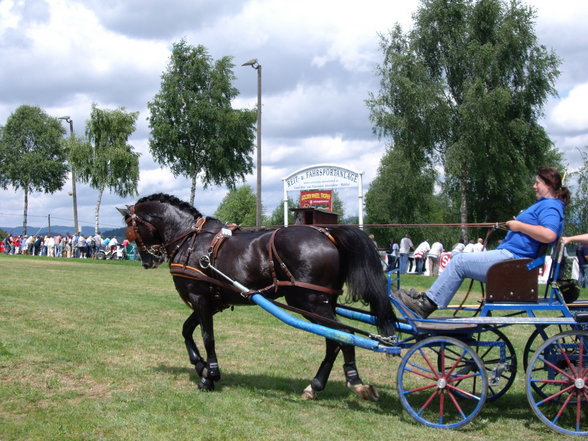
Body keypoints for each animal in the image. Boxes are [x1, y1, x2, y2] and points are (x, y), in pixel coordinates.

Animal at [118, 192, 396, 398]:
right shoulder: (210, 303)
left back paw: (353, 382)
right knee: (335, 339)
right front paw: (199, 365)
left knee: (342, 336)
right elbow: (186, 330)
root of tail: (327, 234)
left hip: (310, 302)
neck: (190, 240)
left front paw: (210, 375)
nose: (148, 261)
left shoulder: (200, 300)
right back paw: (319, 385)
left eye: (131, 228)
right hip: (321, 303)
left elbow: (208, 338)